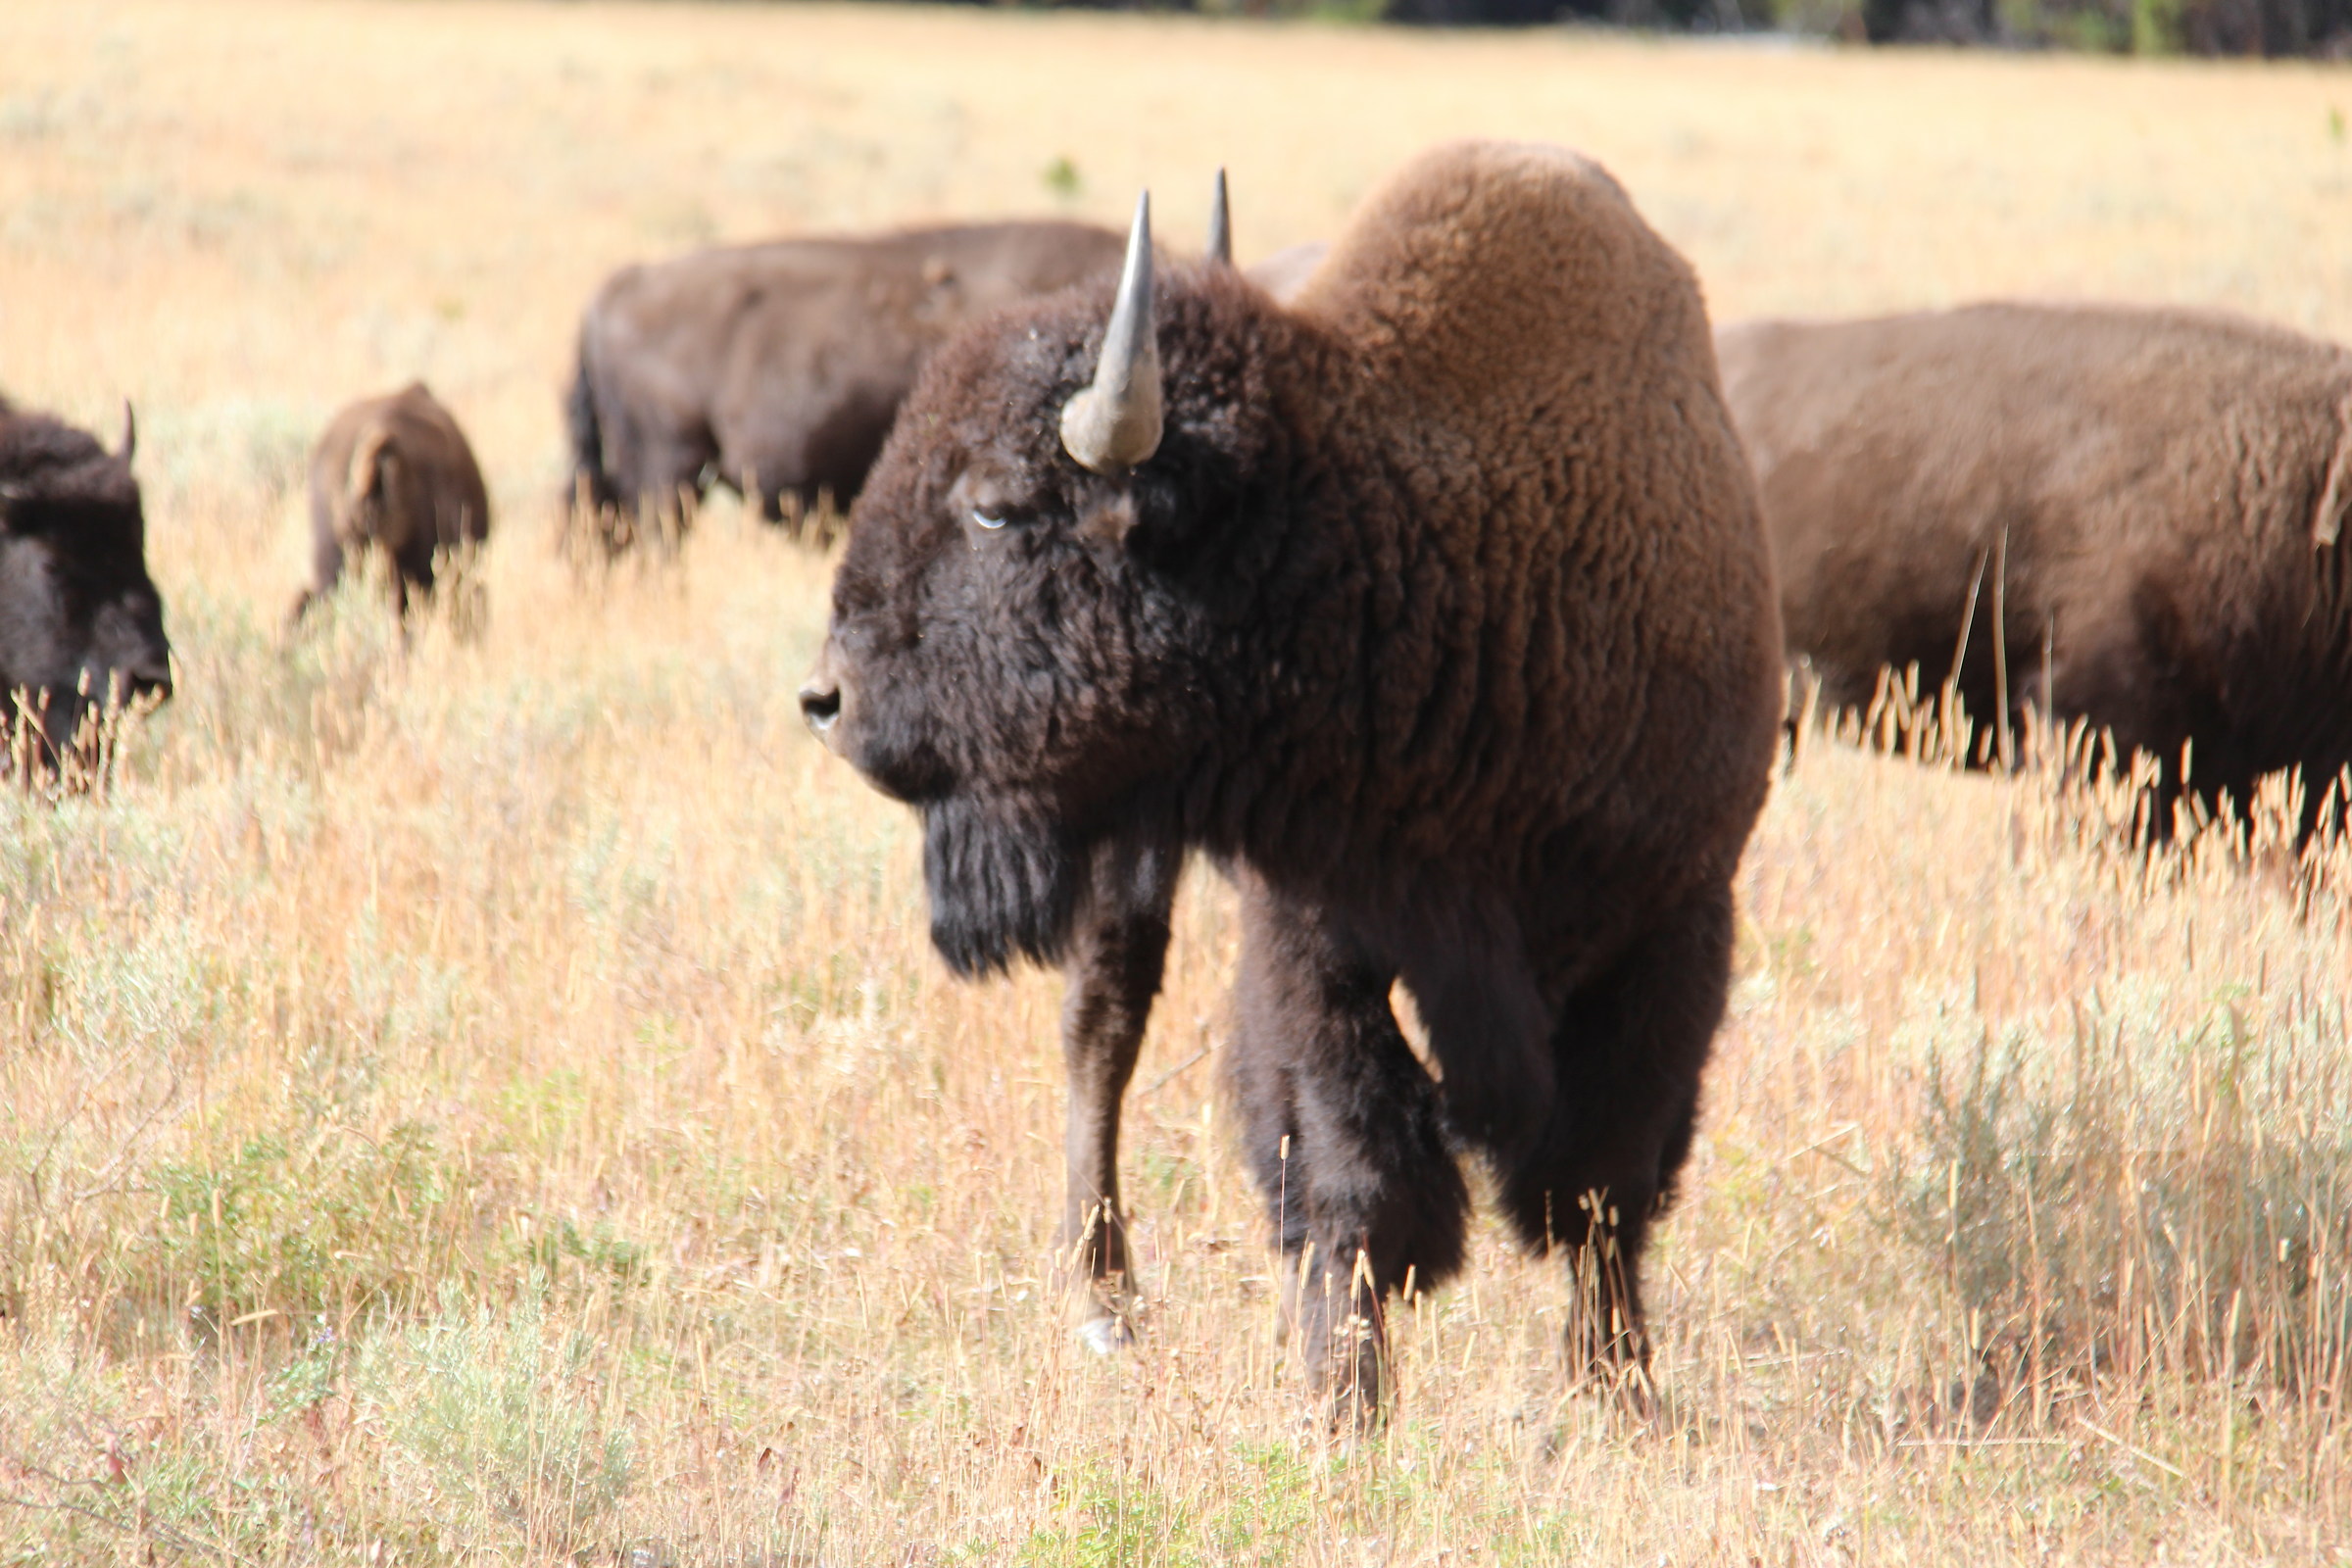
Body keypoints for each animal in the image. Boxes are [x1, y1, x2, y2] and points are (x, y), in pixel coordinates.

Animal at [800, 143, 1783, 1408]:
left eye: (995, 505)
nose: (827, 698)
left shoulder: (1676, 920)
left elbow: (1605, 1182)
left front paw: (1618, 1389)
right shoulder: (1322, 935)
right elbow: (1353, 1167)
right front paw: (1343, 1396)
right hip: (1131, 840)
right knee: (1103, 1026)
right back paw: (1106, 1303)